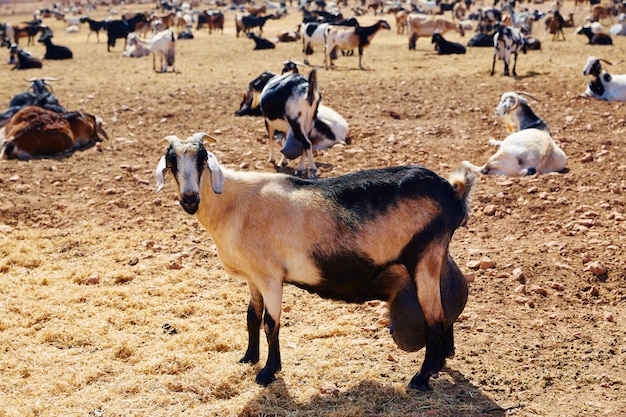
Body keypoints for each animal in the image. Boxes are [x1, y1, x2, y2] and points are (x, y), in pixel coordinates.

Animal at [154, 132, 470, 390]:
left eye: (202, 158)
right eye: (171, 161)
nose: (190, 199)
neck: (234, 205)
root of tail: (452, 191)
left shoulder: (270, 277)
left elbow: (271, 323)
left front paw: (268, 372)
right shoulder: (253, 278)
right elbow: (252, 317)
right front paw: (248, 358)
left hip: (425, 256)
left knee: (435, 318)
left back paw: (421, 378)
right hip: (435, 257)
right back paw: (440, 363)